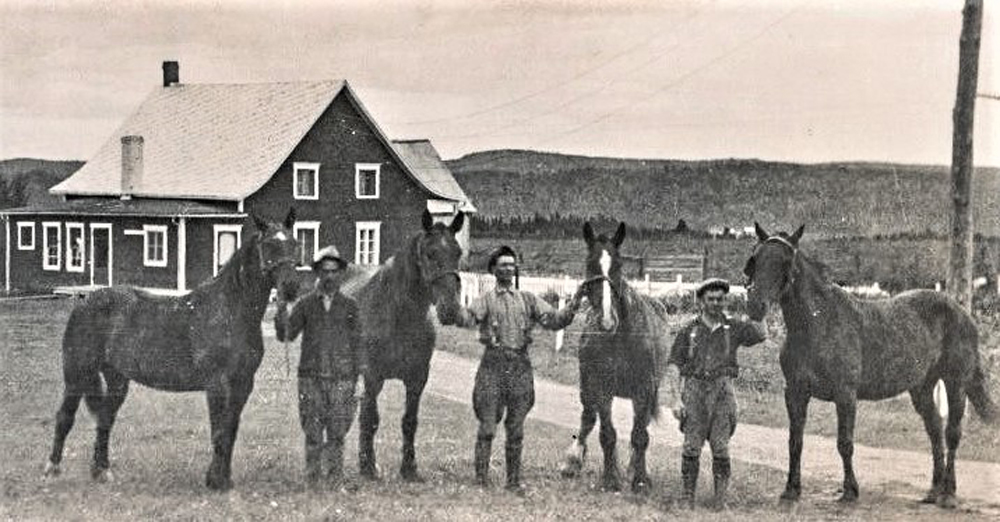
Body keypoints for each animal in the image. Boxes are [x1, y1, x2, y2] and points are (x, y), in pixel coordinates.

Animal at [44, 208, 300, 488]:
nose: (291, 287)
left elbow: (230, 430)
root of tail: (84, 303)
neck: (230, 311)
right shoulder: (217, 384)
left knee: (104, 419)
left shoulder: (243, 384)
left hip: (116, 379)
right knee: (64, 417)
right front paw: (215, 481)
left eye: (294, 244)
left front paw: (225, 479)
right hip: (77, 374)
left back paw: (101, 470)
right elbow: (219, 431)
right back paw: (52, 468)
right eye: (269, 245)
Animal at [352, 208, 464, 480]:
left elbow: (409, 422)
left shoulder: (417, 379)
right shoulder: (373, 377)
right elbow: (371, 418)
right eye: (430, 253)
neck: (399, 315)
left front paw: (409, 468)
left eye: (458, 252)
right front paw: (369, 467)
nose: (451, 309)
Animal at [560, 219, 668, 492]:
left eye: (618, 266)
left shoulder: (644, 390)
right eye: (590, 265)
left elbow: (640, 436)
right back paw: (572, 461)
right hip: (587, 387)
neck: (620, 338)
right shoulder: (601, 388)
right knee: (587, 418)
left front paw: (640, 478)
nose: (607, 321)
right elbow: (606, 434)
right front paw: (610, 478)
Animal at [748, 221, 996, 506]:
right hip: (922, 387)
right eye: (756, 258)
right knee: (935, 431)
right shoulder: (795, 393)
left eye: (786, 261)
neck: (817, 324)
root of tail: (962, 312)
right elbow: (795, 441)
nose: (755, 305)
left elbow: (845, 443)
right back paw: (933, 491)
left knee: (952, 434)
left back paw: (948, 493)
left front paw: (850, 491)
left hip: (956, 383)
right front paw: (791, 490)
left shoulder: (845, 395)